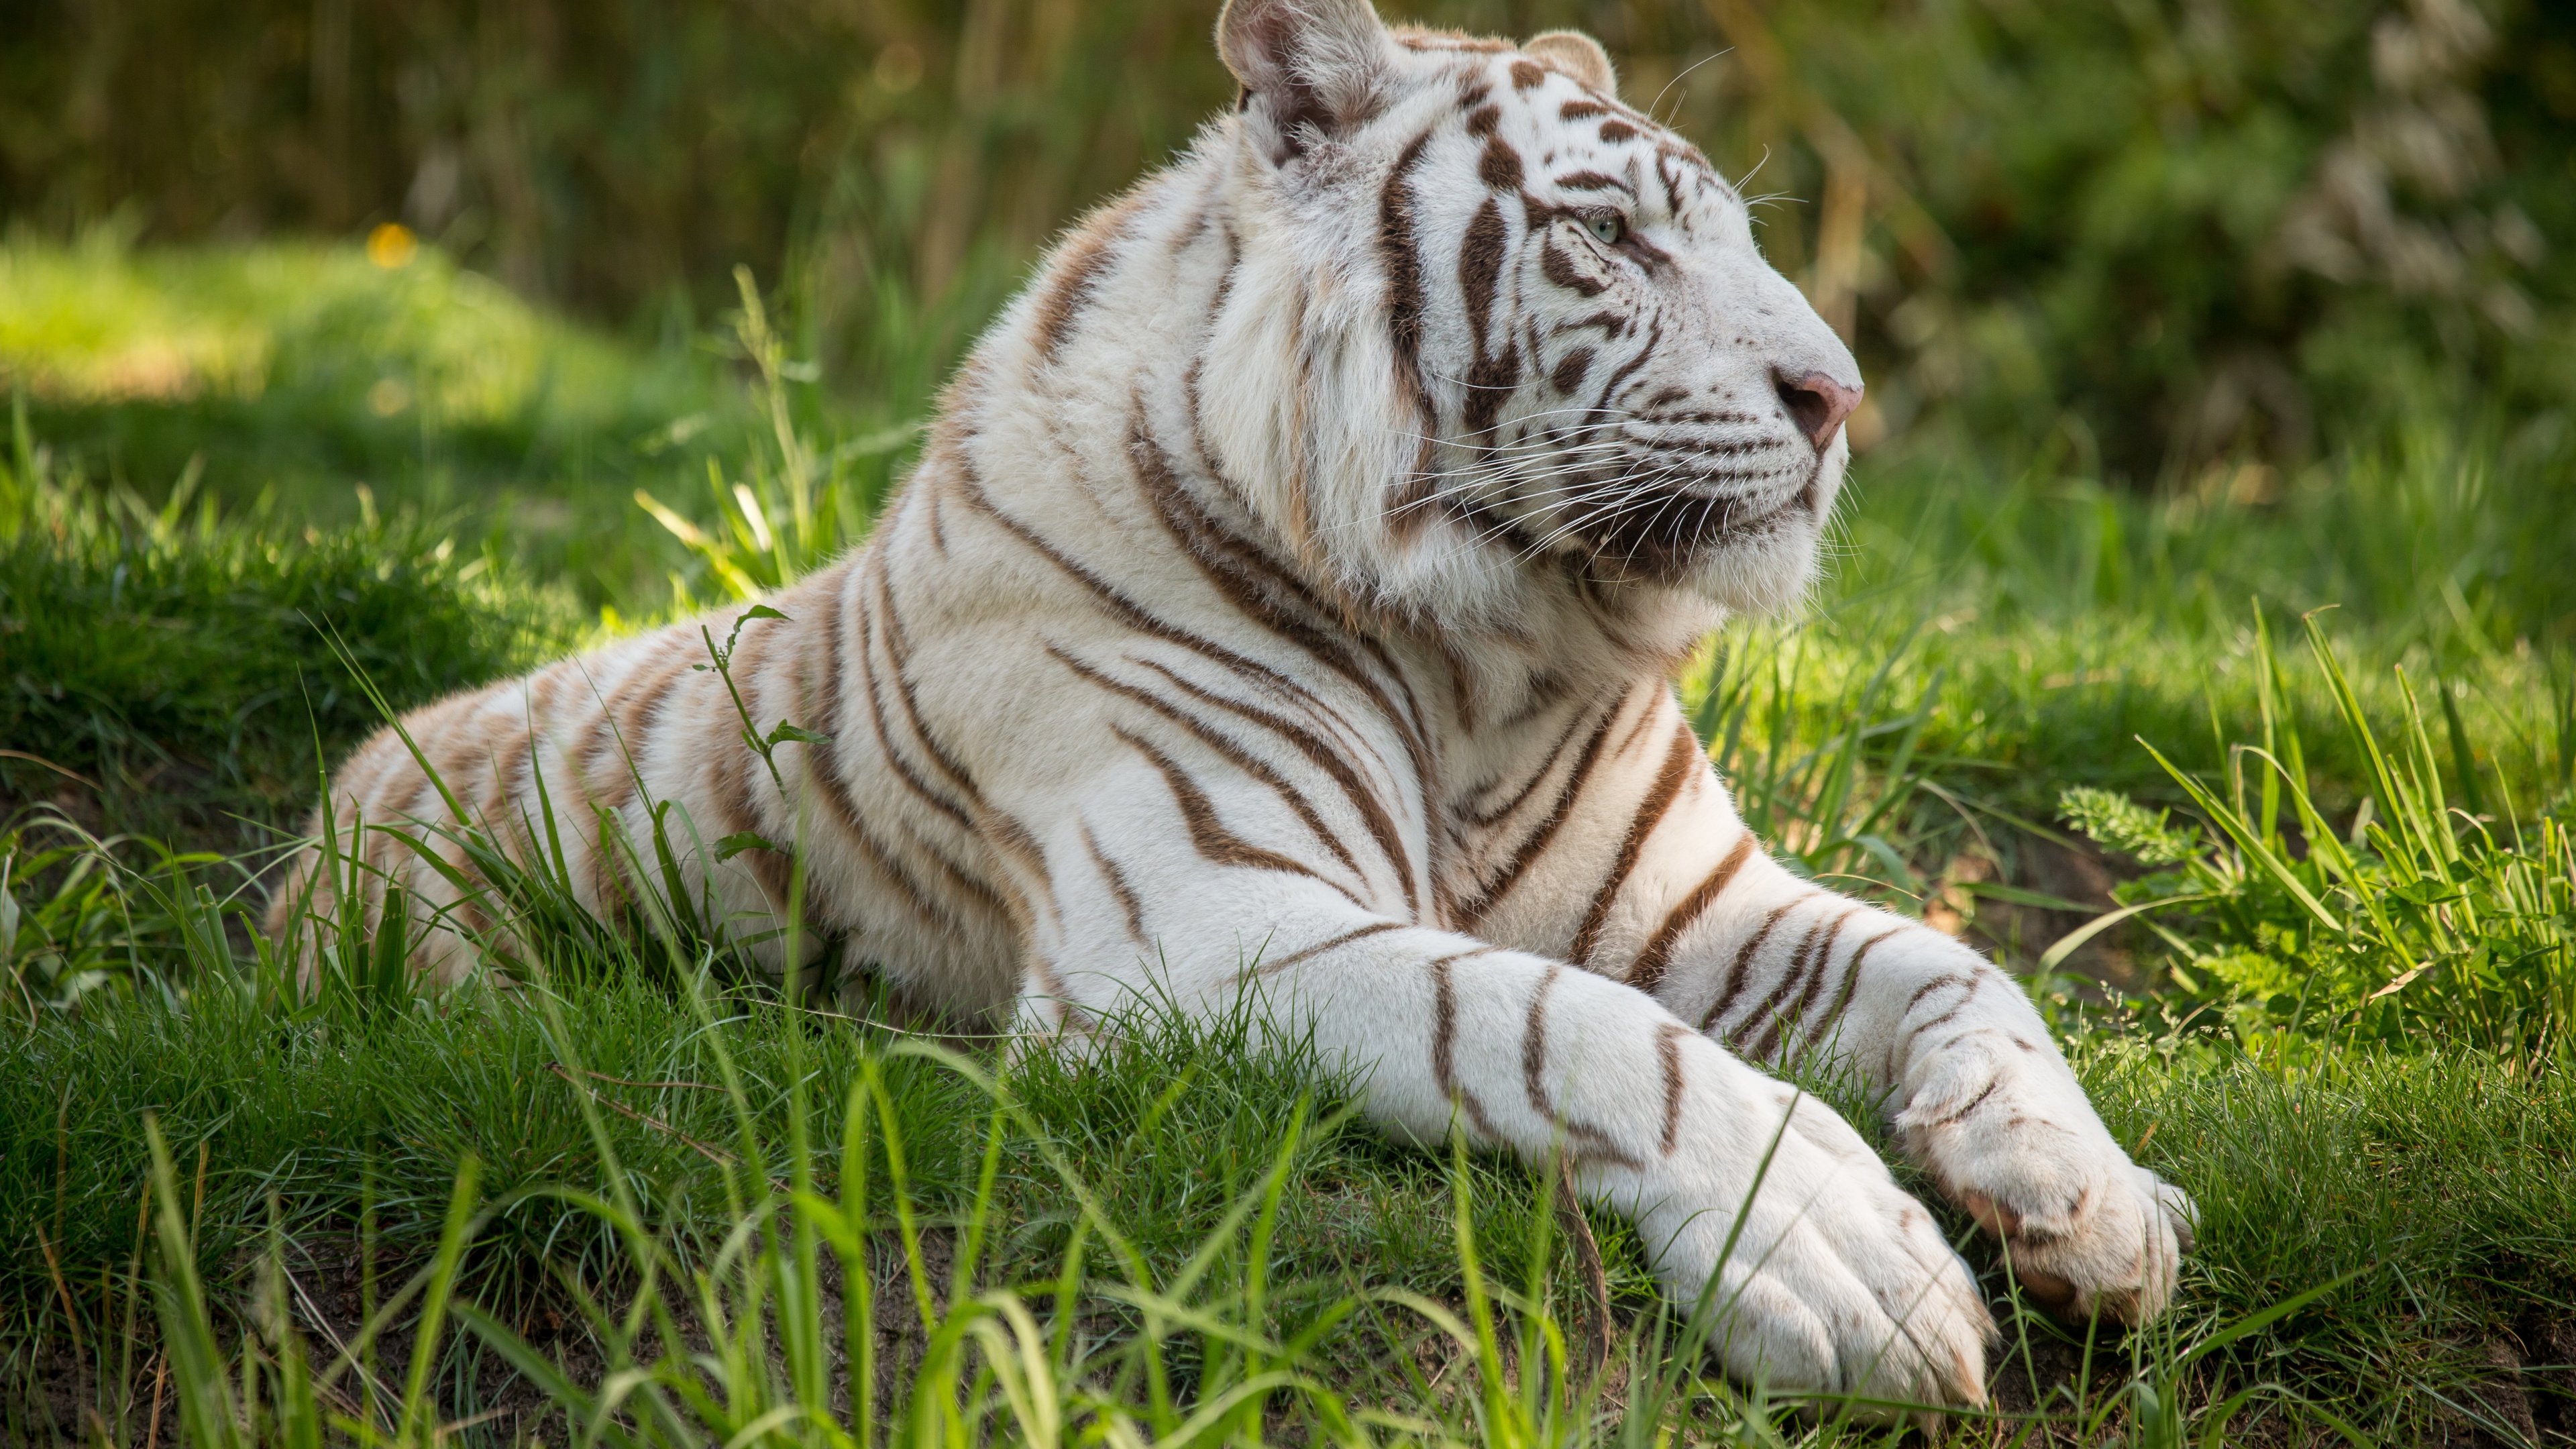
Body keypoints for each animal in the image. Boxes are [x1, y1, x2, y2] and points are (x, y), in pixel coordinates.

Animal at [274, 0, 2195, 1409]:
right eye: (1607, 239)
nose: (1839, 395)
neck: (1493, 655)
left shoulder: (1692, 903)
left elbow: (1959, 967)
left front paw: (2093, 1199)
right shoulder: (1195, 927)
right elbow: (1558, 1024)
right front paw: (1848, 1259)